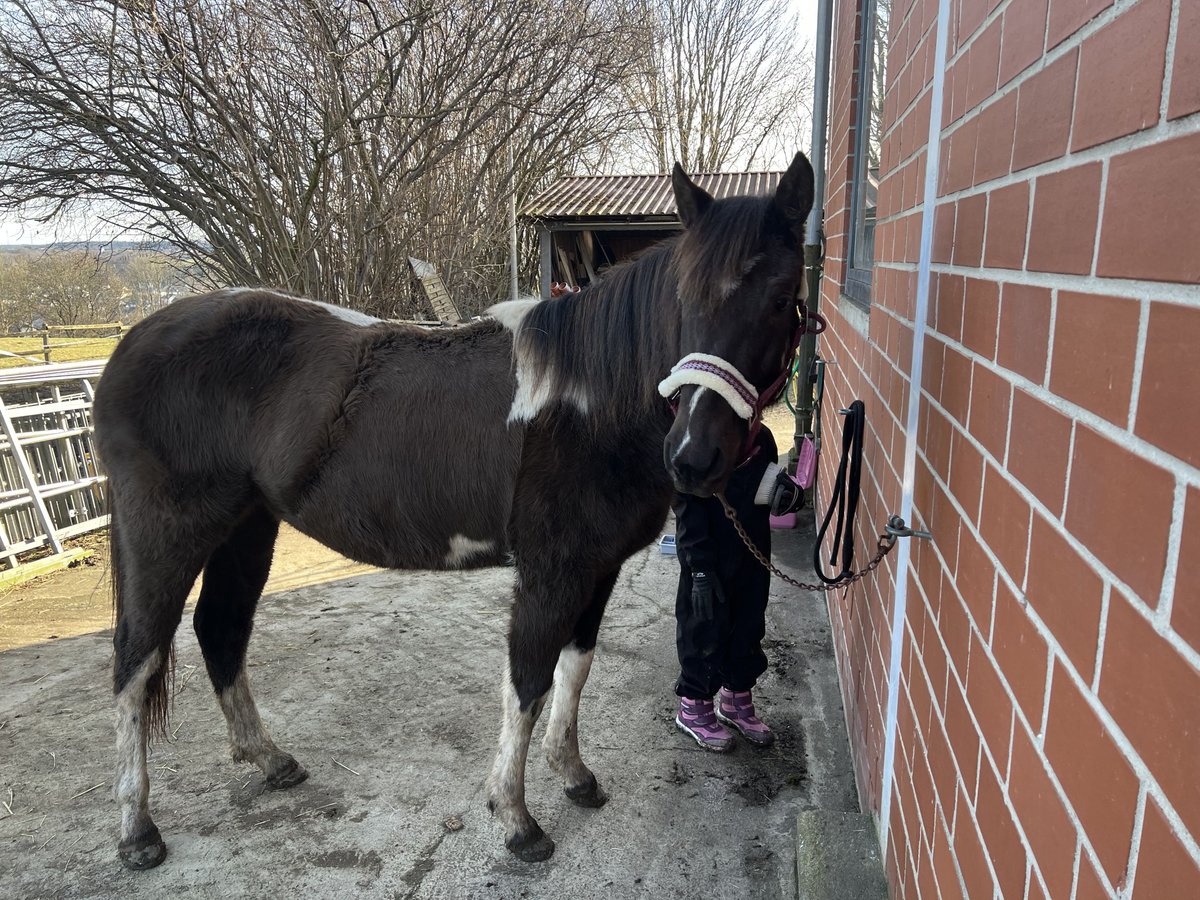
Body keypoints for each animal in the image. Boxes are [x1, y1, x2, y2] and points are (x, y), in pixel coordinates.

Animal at [92, 152, 815, 869]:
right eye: (685, 299)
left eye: (782, 299)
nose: (694, 456)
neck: (590, 403)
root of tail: (135, 340)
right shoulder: (551, 573)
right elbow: (528, 681)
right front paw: (517, 819)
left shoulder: (598, 569)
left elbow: (574, 670)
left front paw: (574, 776)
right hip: (166, 533)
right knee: (136, 659)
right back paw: (136, 830)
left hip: (246, 527)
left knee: (220, 630)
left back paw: (270, 761)